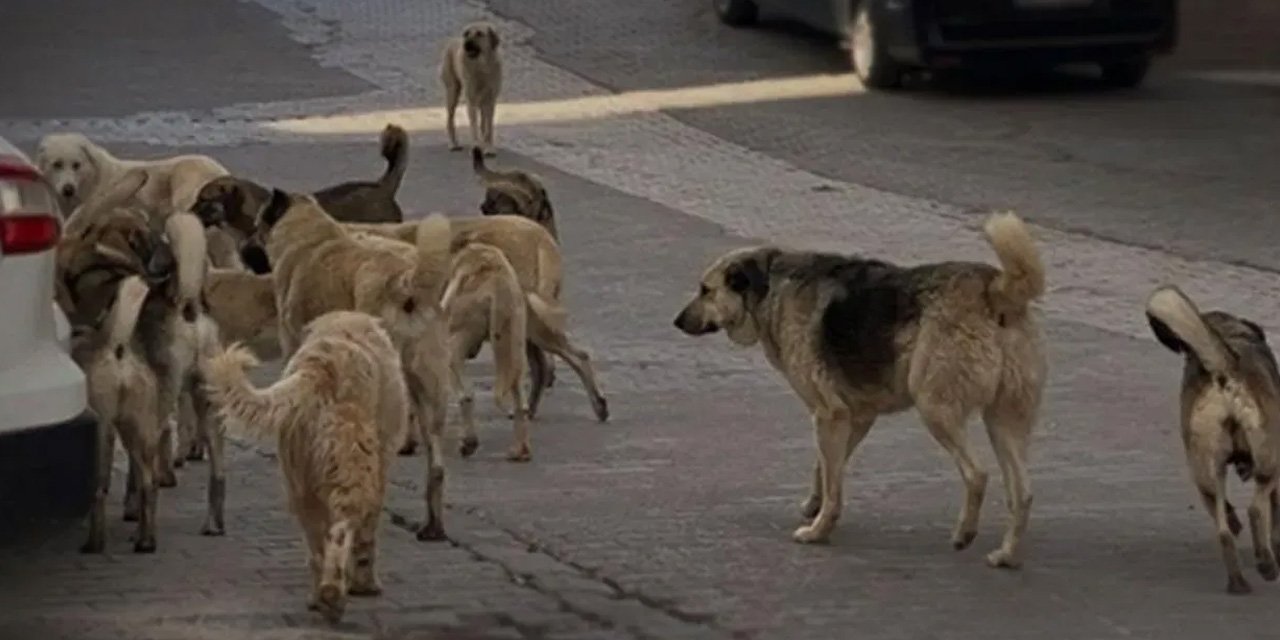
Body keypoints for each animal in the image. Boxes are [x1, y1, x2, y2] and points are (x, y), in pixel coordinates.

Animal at [203, 312, 409, 622]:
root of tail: (318, 368)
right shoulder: (380, 470)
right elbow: (366, 537)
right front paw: (366, 584)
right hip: (352, 469)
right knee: (341, 531)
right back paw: (333, 594)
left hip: (299, 484)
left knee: (317, 548)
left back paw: (319, 598)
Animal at [675, 212, 1044, 568]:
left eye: (705, 290)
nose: (676, 322)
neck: (770, 286)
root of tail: (993, 289)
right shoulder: (855, 416)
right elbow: (826, 470)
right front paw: (814, 505)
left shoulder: (828, 414)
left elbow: (833, 482)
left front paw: (818, 530)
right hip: (1004, 422)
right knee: (1023, 492)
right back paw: (1006, 555)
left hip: (935, 408)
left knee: (977, 474)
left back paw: (964, 533)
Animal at [1146, 285, 1280, 593]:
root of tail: (1224, 369)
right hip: (1270, 459)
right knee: (1256, 509)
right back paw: (1266, 564)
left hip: (1205, 471)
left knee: (1224, 531)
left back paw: (1238, 581)